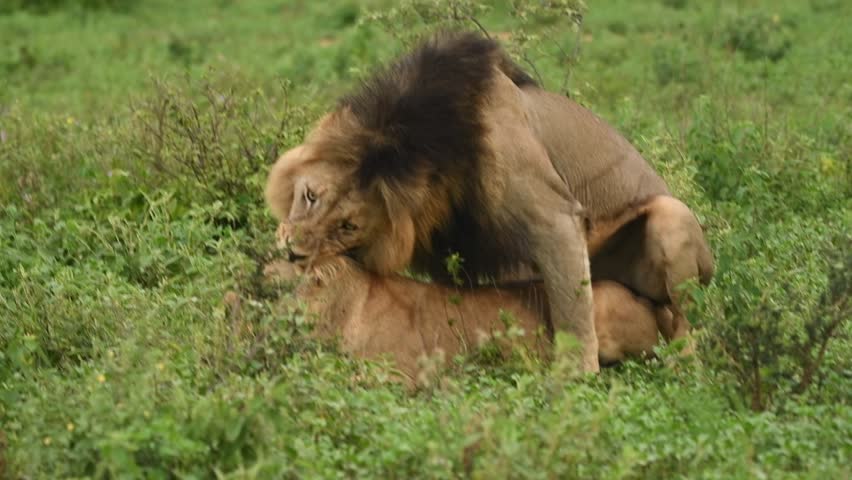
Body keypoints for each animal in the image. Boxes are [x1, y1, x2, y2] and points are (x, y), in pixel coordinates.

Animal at [265, 31, 714, 373]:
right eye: (310, 196)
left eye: (348, 227)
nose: (292, 252)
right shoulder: (445, 242)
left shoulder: (555, 218)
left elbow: (574, 317)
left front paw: (575, 384)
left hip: (672, 222)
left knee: (682, 320)